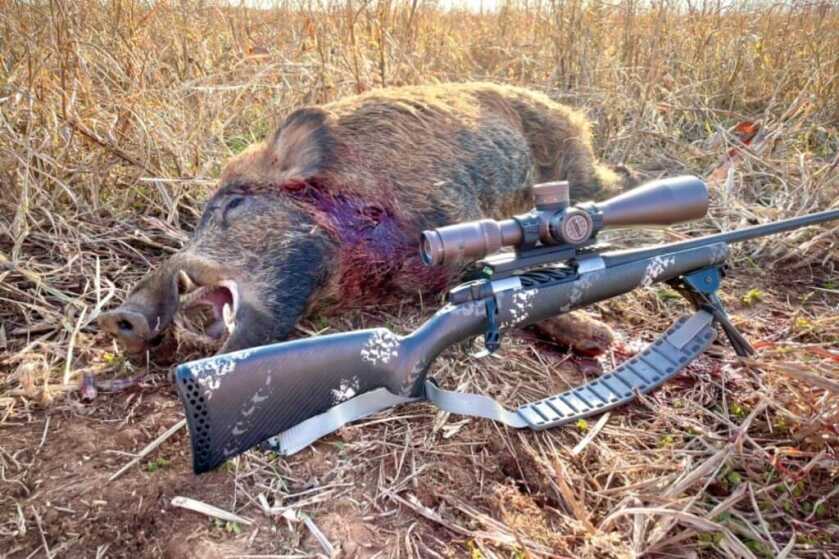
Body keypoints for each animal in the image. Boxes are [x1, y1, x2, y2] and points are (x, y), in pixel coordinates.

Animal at [98, 82, 637, 359]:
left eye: (232, 205)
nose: (118, 316)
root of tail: (570, 112)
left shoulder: (454, 209)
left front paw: (603, 342)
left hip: (578, 166)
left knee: (613, 179)